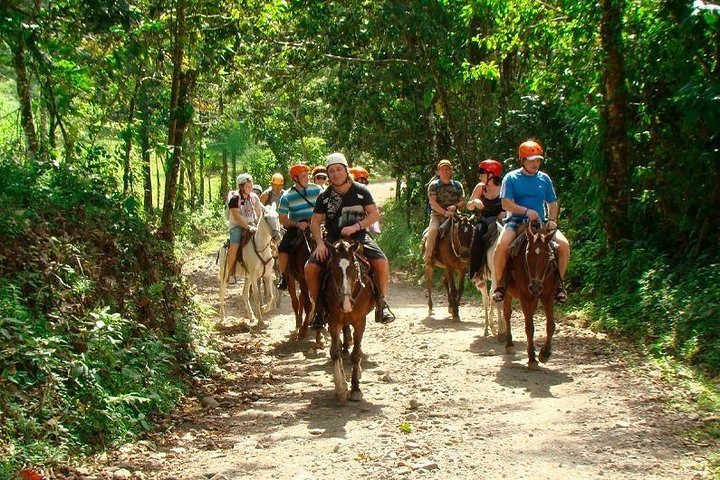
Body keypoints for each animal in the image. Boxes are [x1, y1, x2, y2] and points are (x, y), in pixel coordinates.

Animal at [322, 240, 374, 404]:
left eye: (353, 267)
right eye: (333, 268)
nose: (346, 303)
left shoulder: (360, 321)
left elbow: (356, 354)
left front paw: (355, 388)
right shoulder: (334, 320)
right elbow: (335, 352)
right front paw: (340, 388)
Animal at [504, 223, 560, 370]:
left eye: (547, 257)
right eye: (527, 255)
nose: (535, 287)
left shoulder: (547, 295)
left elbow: (551, 325)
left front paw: (545, 353)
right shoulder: (525, 297)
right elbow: (529, 327)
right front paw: (532, 358)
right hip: (507, 293)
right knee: (507, 314)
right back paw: (509, 344)